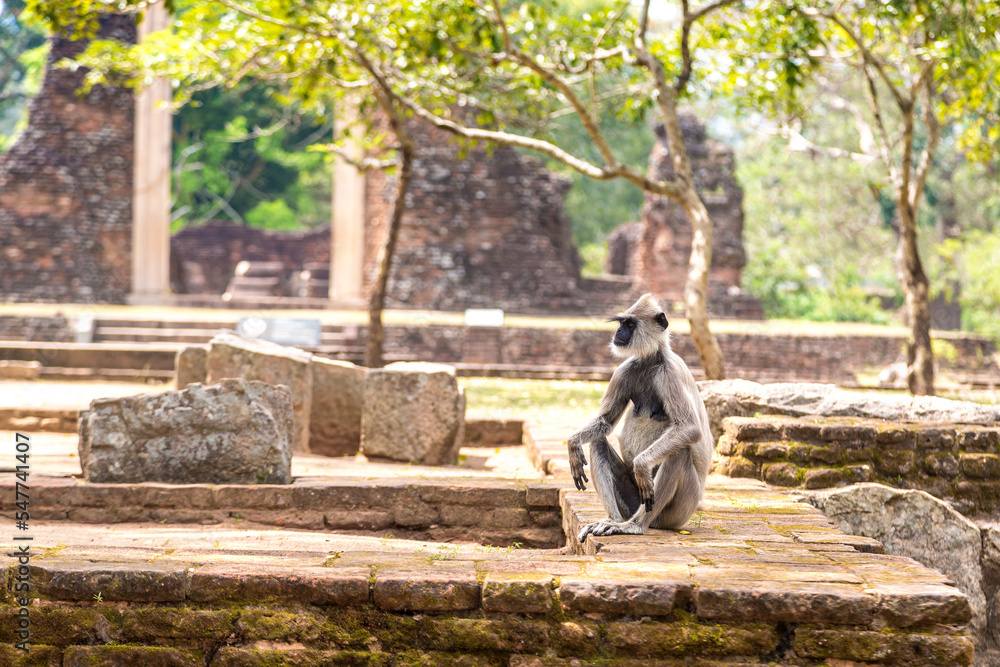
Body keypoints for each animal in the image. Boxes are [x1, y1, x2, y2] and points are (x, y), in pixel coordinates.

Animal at [566, 293, 714, 542]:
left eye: (630, 324)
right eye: (621, 323)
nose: (618, 332)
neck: (650, 361)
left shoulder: (670, 372)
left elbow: (689, 428)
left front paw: (642, 464)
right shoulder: (624, 370)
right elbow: (605, 422)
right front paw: (573, 443)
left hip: (677, 511)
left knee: (679, 453)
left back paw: (635, 526)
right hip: (634, 502)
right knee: (598, 441)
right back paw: (612, 520)